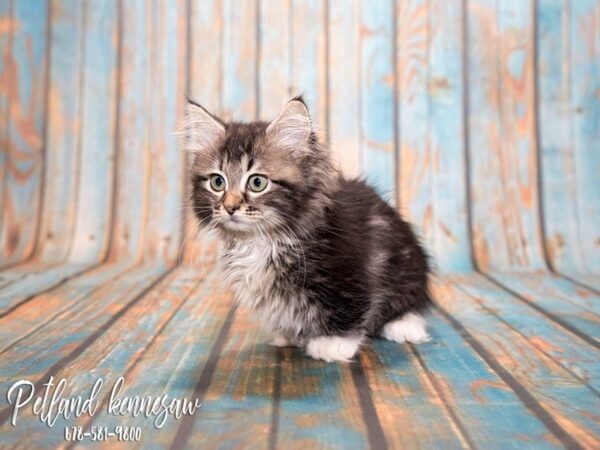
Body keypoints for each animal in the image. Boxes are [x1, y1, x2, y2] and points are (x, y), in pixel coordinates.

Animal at [183, 96, 432, 362]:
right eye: (217, 182)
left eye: (257, 182)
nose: (229, 207)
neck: (264, 239)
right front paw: (293, 335)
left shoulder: (350, 269)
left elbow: (349, 304)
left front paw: (332, 342)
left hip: (405, 267)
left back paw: (403, 324)